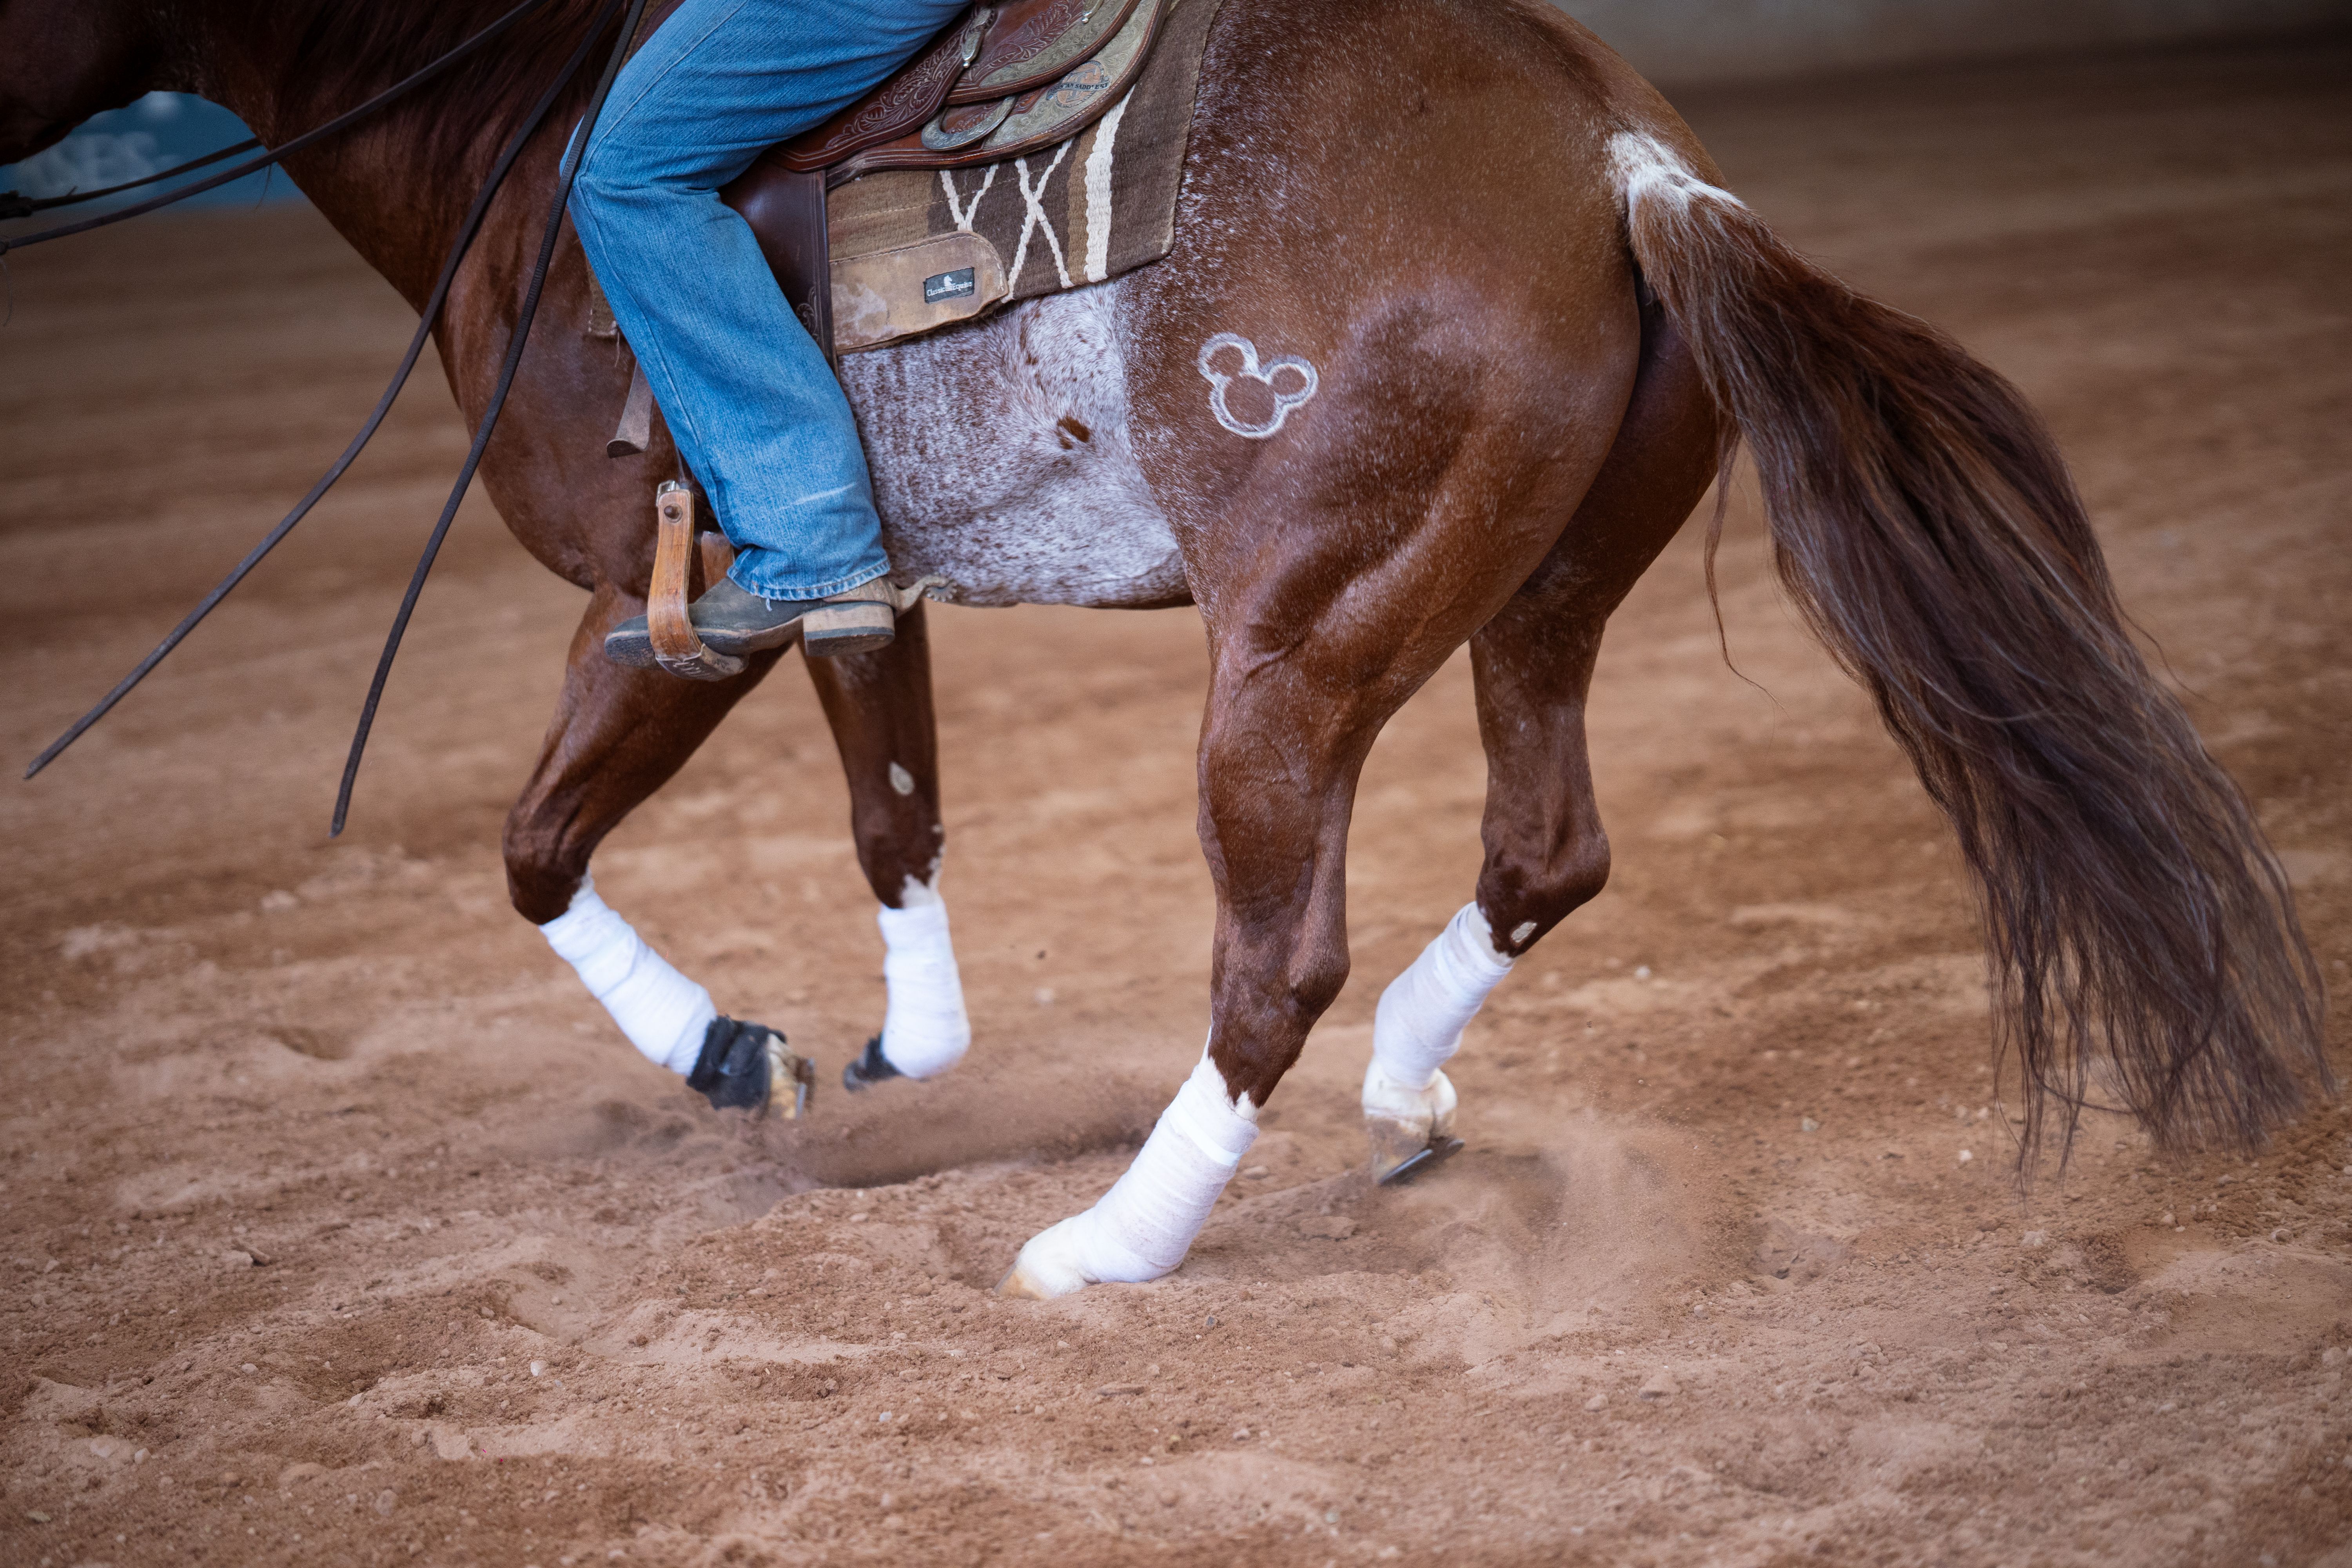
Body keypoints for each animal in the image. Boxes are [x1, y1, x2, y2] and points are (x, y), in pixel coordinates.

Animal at [3, 0, 2324, 1296]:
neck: (535, 124)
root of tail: (1620, 155)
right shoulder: (841, 573)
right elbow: (892, 804)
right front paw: (896, 1052)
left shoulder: (670, 601)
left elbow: (534, 847)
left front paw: (732, 1052)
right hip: (1542, 597)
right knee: (1546, 850)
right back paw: (1405, 1086)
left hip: (1294, 654)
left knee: (1276, 957)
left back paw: (1111, 1243)